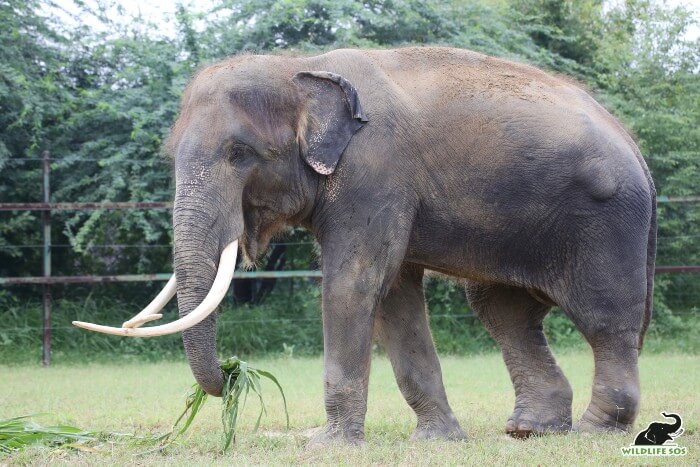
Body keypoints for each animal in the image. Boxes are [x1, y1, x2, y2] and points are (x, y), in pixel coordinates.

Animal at [76, 47, 656, 446]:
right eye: (169, 153)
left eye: (239, 153)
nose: (231, 374)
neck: (301, 68)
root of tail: (635, 146)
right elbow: (394, 295)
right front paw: (437, 441)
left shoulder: (374, 172)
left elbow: (353, 284)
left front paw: (328, 445)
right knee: (503, 312)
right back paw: (529, 431)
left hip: (606, 223)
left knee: (605, 319)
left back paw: (594, 431)